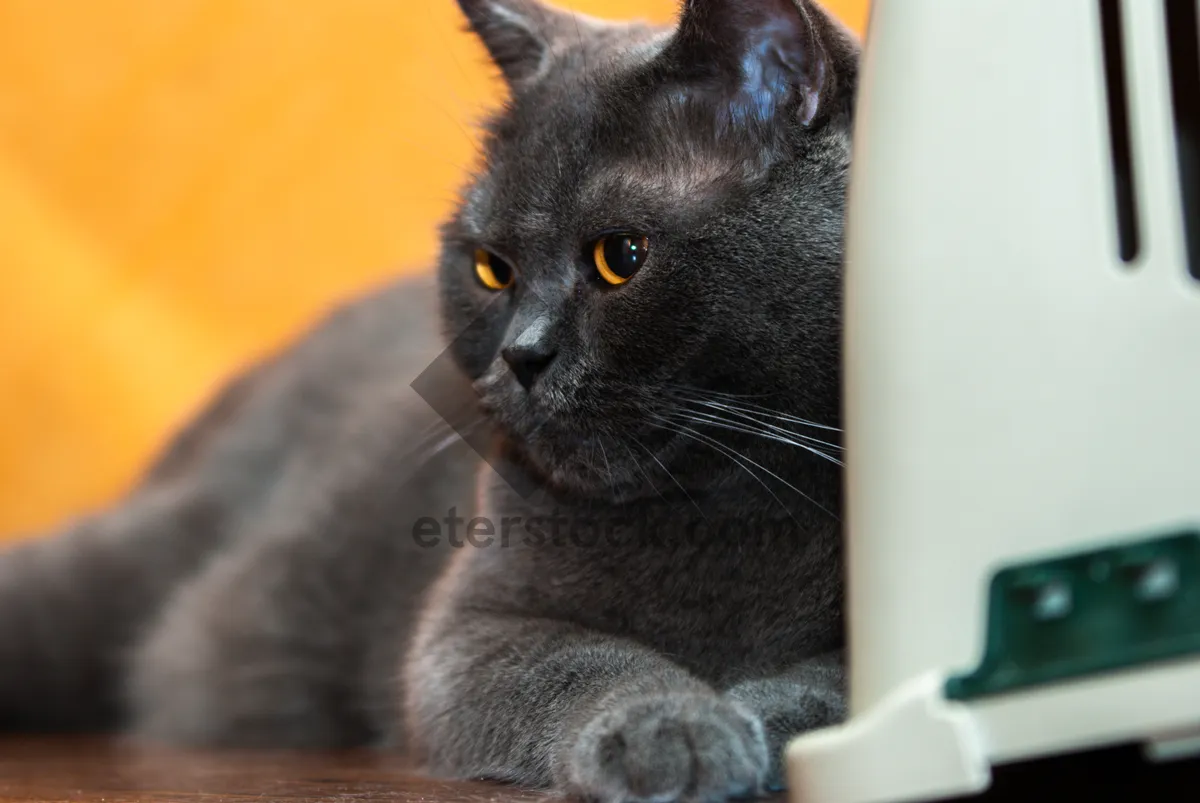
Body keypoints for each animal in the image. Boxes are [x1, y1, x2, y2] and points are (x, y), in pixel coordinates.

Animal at [2, 0, 864, 796]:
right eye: (491, 268)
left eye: (621, 256)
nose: (523, 354)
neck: (720, 504)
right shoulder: (466, 629)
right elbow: (584, 661)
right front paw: (671, 730)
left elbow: (830, 686)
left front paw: (751, 725)